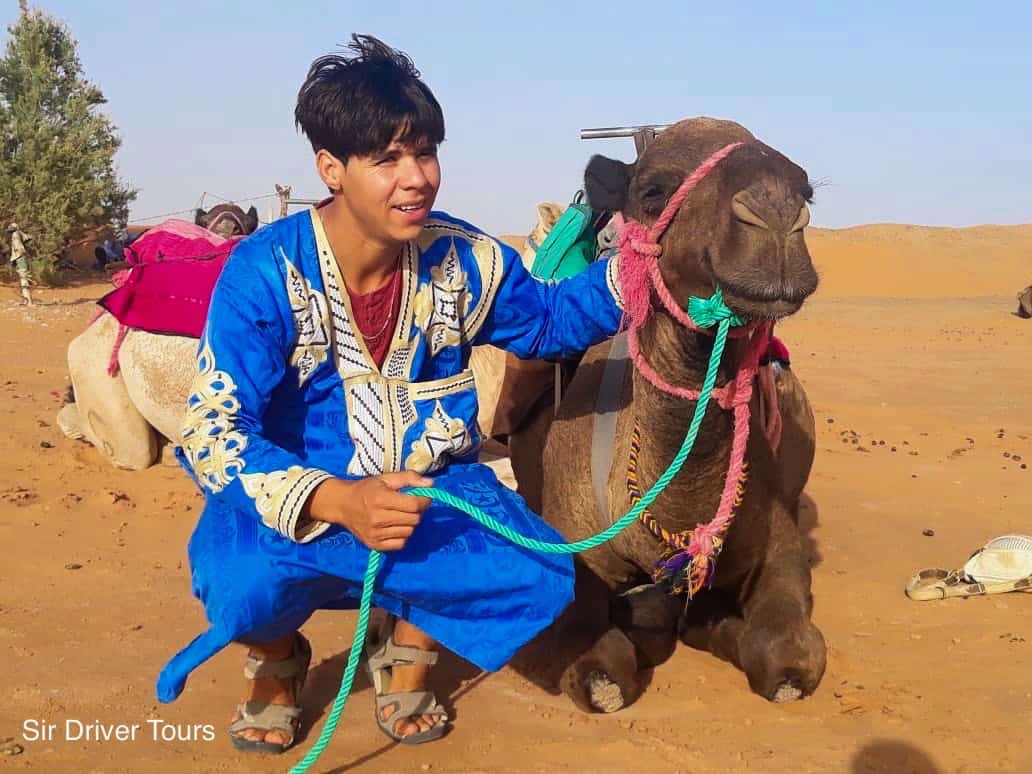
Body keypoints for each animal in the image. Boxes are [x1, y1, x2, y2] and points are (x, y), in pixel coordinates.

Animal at [511, 118, 825, 718]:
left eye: (807, 189)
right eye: (653, 191)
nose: (776, 211)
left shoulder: (778, 544)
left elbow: (787, 660)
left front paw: (716, 625)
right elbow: (600, 672)